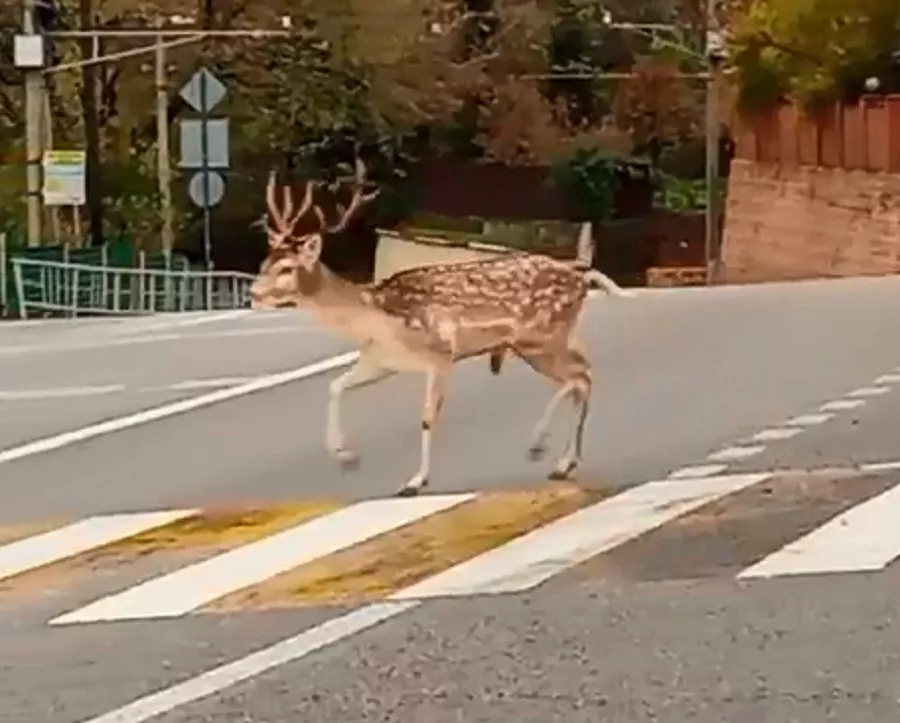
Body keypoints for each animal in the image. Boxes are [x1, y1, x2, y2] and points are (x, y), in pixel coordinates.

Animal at [250, 158, 636, 498]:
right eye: (264, 262)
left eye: (286, 268)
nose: (253, 293)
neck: (376, 316)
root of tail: (583, 277)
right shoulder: (380, 361)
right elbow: (335, 387)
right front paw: (345, 457)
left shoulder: (440, 354)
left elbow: (426, 416)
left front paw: (414, 481)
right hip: (542, 342)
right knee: (583, 375)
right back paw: (564, 463)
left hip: (540, 336)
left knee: (578, 377)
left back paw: (539, 445)